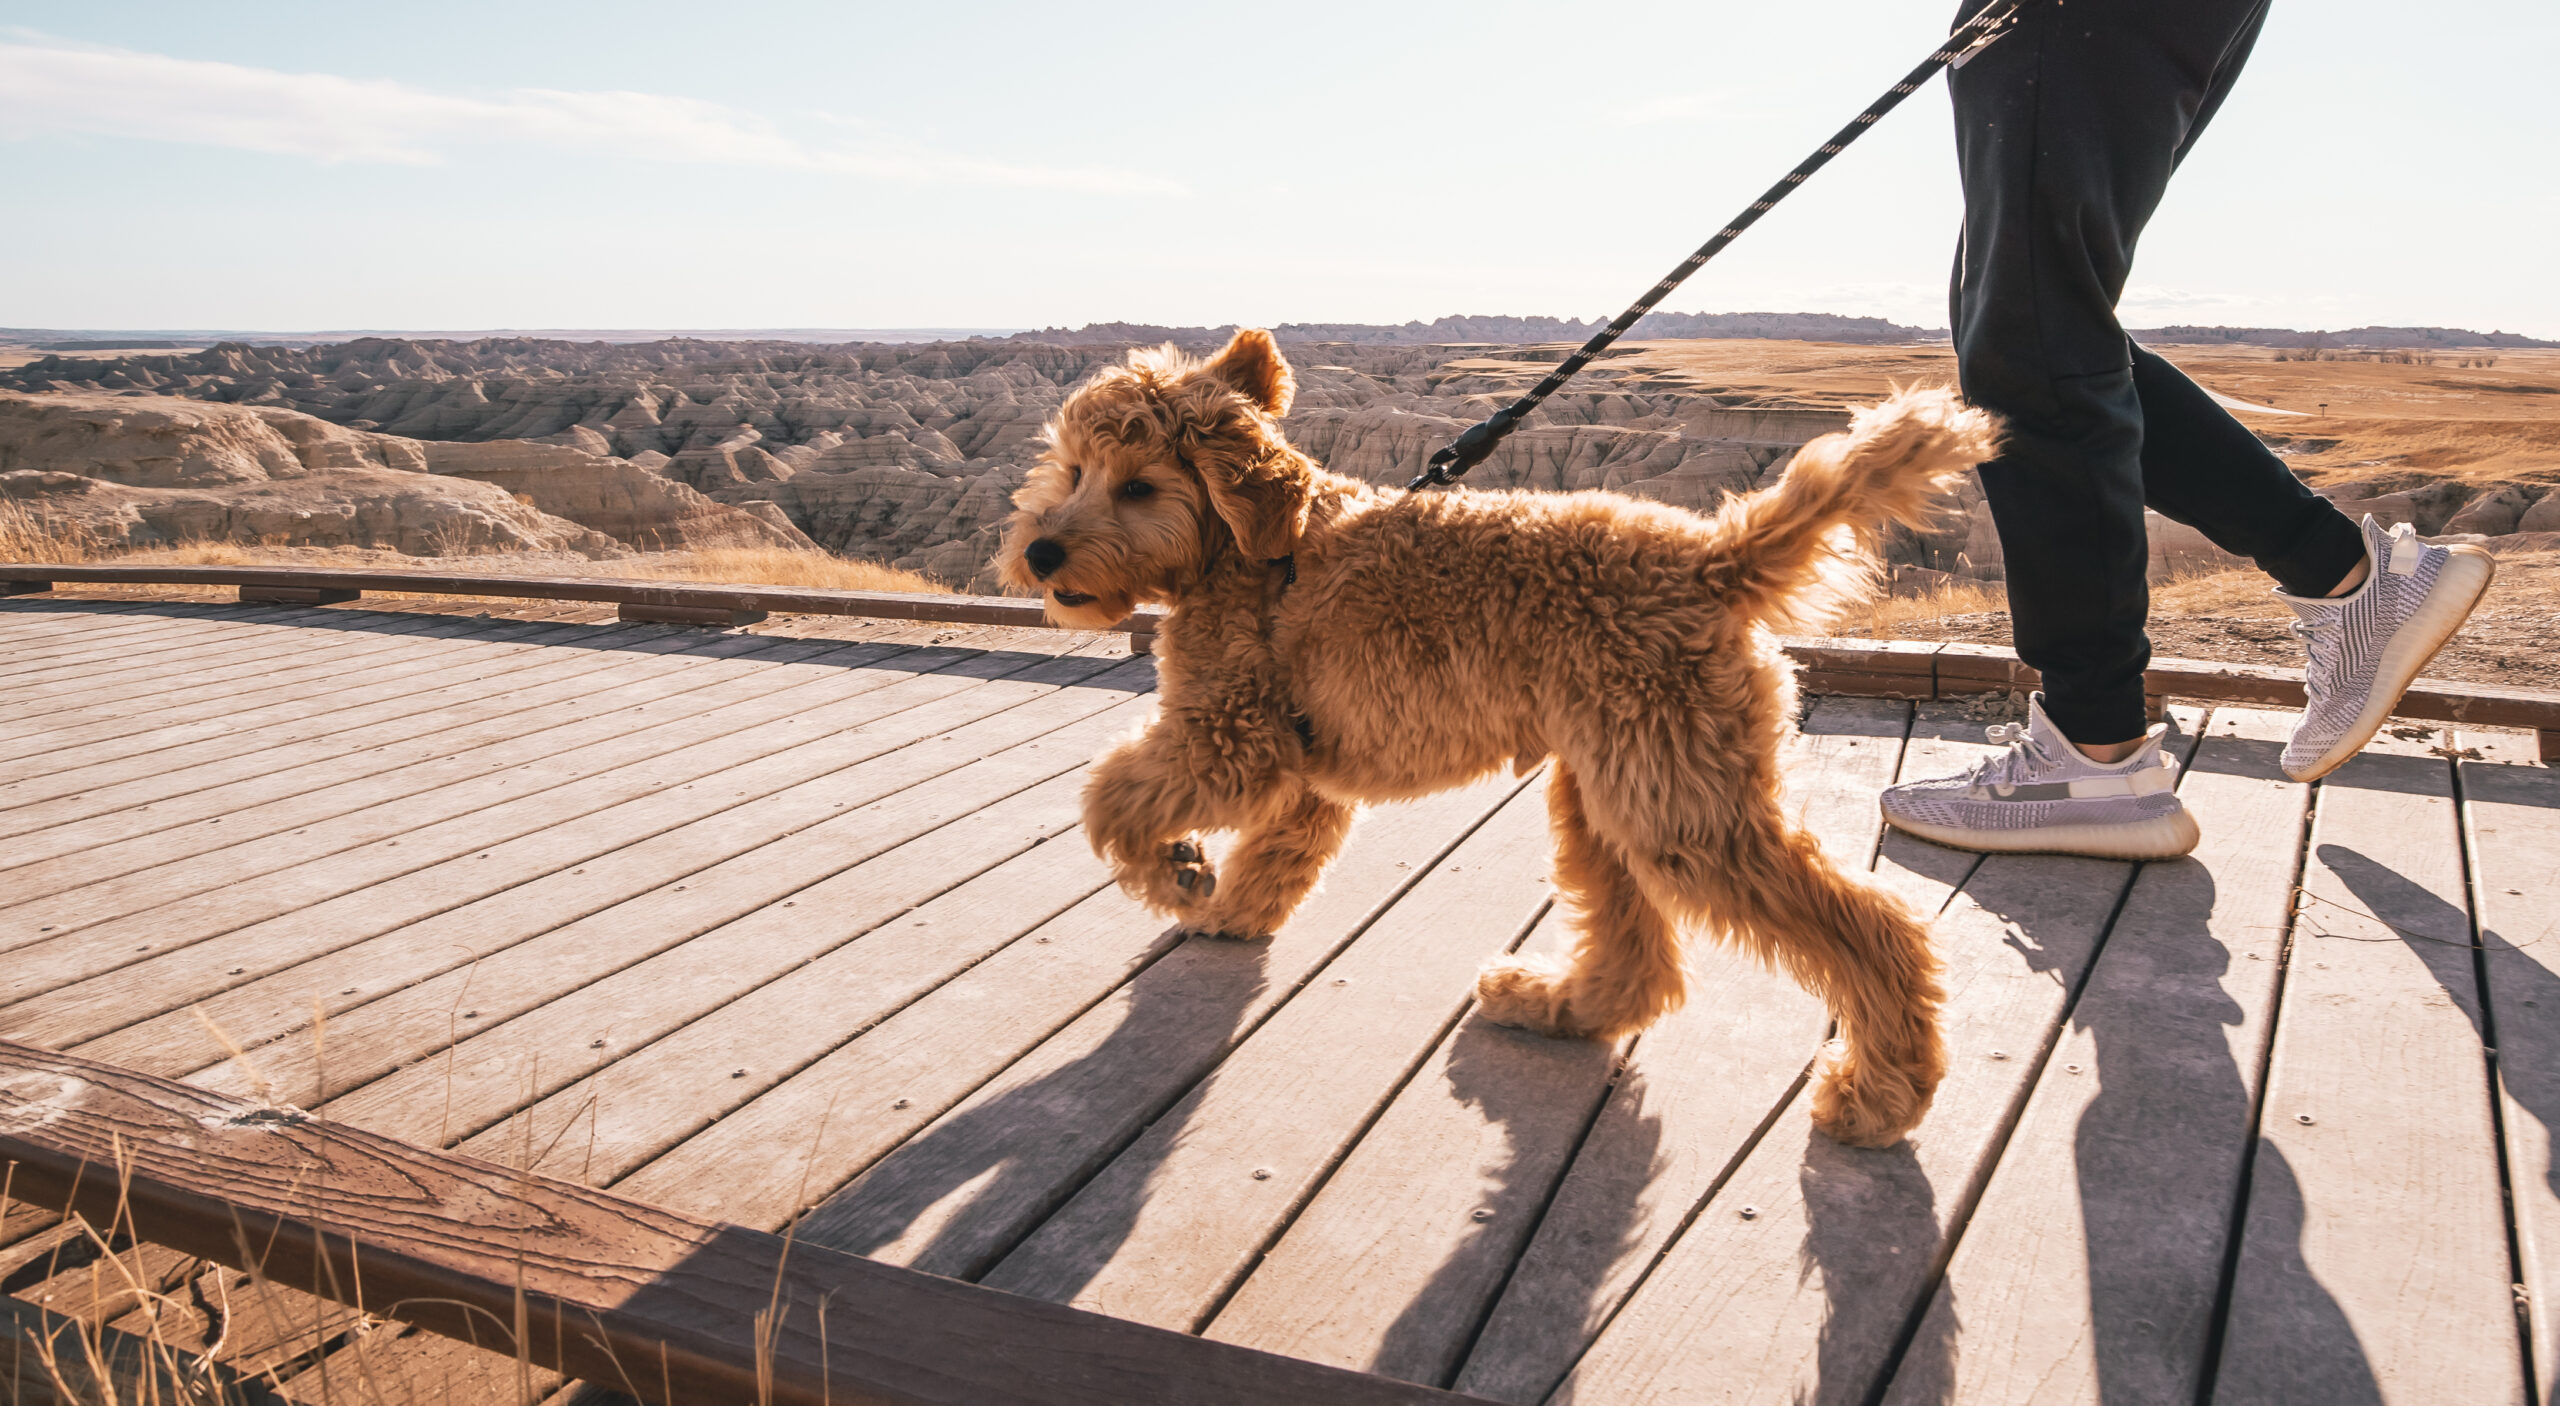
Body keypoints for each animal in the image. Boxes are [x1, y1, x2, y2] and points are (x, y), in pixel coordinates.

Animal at [993, 332, 1996, 1152]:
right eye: (1071, 469)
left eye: (1137, 485)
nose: (1039, 554)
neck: (1257, 548)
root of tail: (1715, 558)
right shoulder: (1305, 767)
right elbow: (1279, 849)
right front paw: (1229, 909)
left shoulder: (1227, 735)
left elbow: (1112, 796)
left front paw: (1176, 875)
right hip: (1613, 785)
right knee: (1636, 960)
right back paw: (1552, 1004)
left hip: (1681, 807)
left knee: (1878, 930)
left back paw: (1880, 1096)